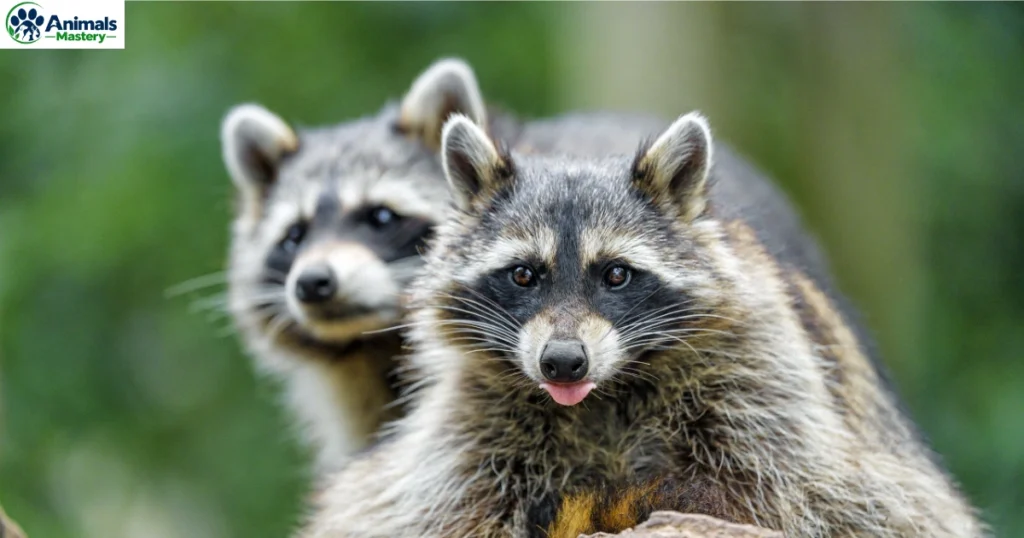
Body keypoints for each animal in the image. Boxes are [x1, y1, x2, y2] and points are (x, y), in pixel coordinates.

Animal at [298, 113, 984, 538]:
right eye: (523, 275)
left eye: (616, 275)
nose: (562, 361)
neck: (602, 397)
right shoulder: (471, 416)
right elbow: (419, 508)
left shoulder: (761, 375)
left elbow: (813, 495)